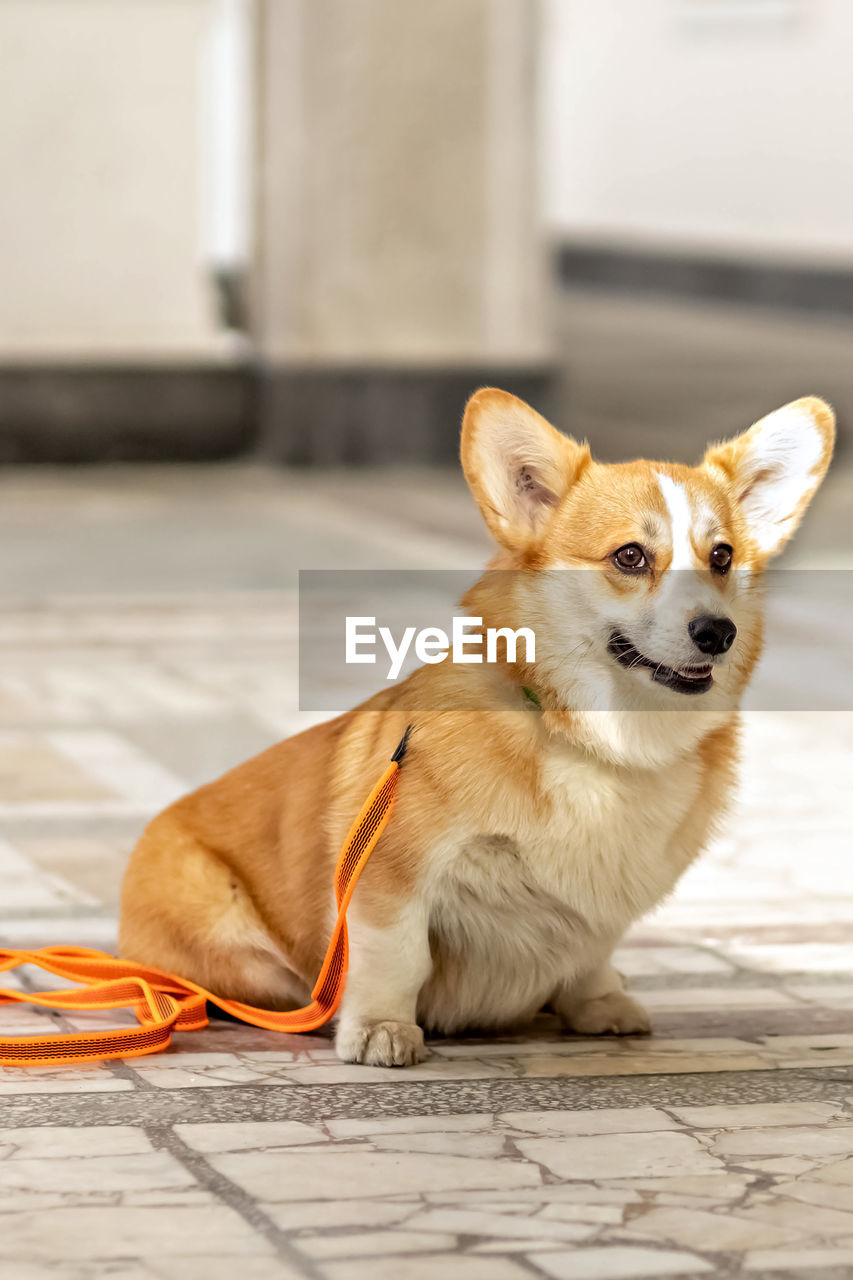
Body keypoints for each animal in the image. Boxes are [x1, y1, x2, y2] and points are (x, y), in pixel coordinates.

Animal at [117, 391, 829, 1070]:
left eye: (722, 557)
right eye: (630, 556)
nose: (717, 632)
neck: (599, 741)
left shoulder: (601, 904)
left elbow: (593, 953)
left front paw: (598, 1002)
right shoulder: (393, 875)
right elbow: (399, 957)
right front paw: (380, 1029)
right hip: (231, 936)